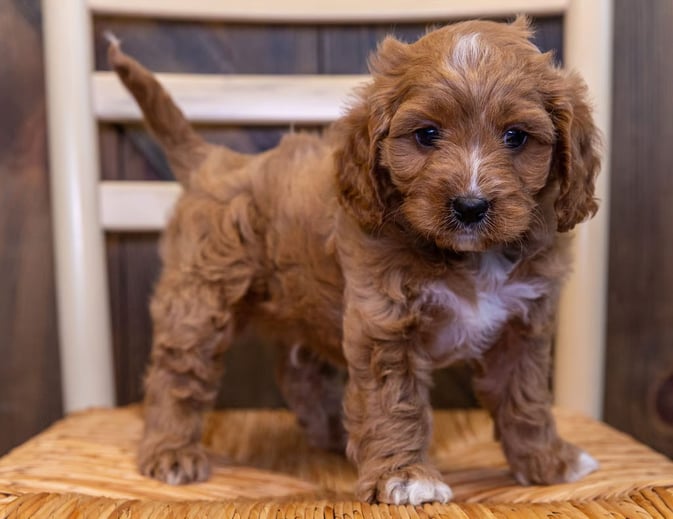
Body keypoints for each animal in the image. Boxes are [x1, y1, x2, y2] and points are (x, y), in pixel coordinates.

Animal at [107, 18, 600, 506]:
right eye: (427, 134)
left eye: (516, 137)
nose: (470, 205)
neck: (468, 255)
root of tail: (214, 161)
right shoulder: (385, 322)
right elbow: (394, 401)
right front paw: (406, 477)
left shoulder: (522, 327)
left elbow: (525, 398)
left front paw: (548, 461)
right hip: (201, 298)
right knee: (178, 373)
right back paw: (171, 450)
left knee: (298, 372)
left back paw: (334, 432)